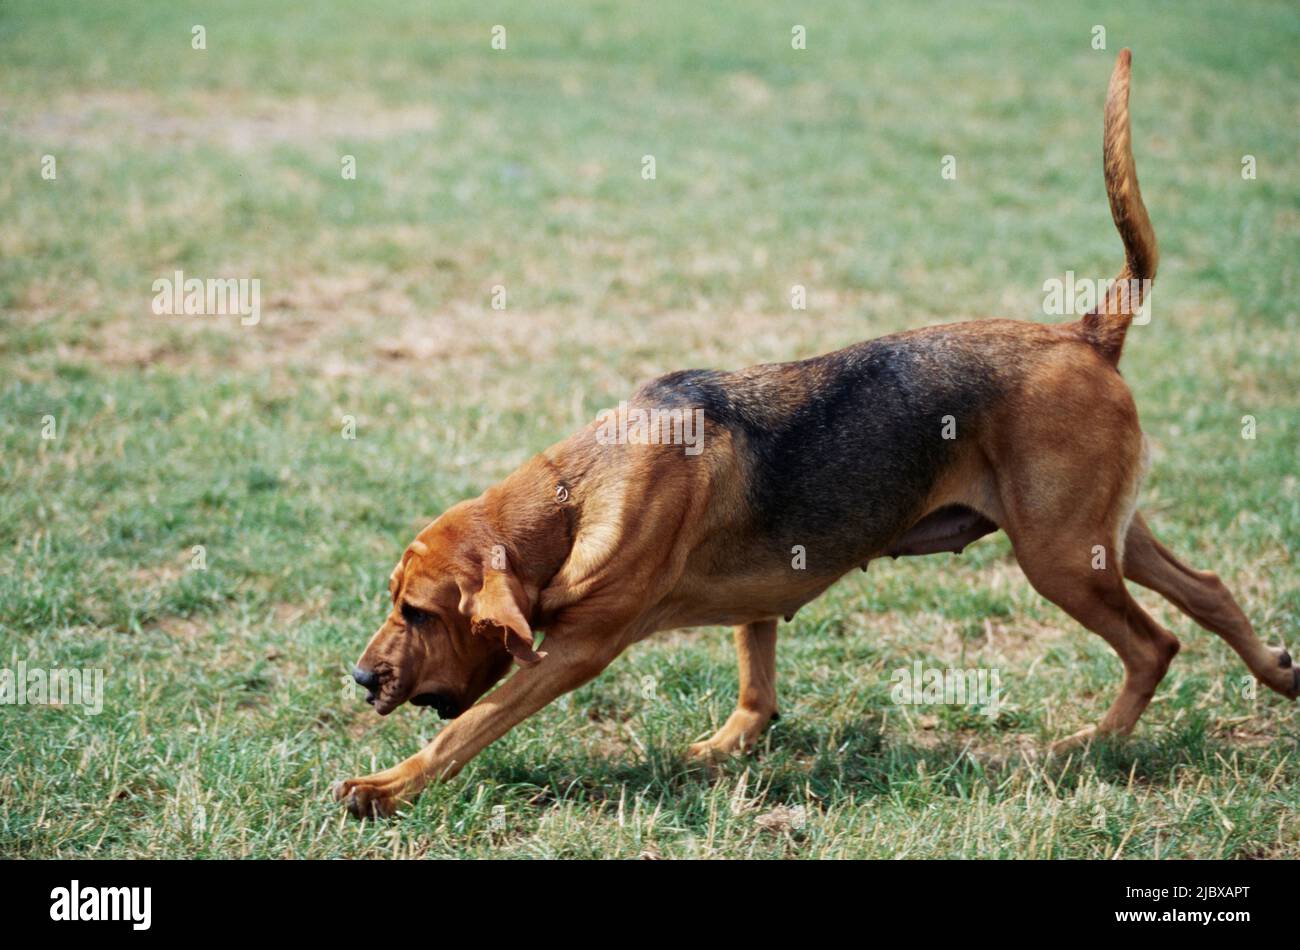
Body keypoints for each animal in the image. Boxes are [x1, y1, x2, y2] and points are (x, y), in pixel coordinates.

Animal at [332, 51, 1289, 821]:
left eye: (418, 613)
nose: (362, 679)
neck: (574, 497)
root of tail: (1085, 332)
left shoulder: (572, 651)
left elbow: (469, 728)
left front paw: (384, 789)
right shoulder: (757, 599)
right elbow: (757, 688)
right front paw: (728, 747)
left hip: (1060, 557)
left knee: (1153, 643)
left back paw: (1093, 745)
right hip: (1101, 537)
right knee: (1207, 594)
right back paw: (1278, 672)